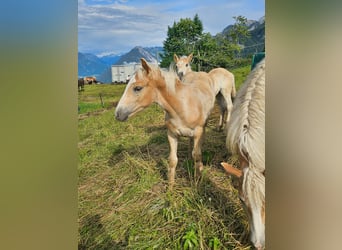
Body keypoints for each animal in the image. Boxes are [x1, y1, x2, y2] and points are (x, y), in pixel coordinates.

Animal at [115, 58, 216, 188]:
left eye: (137, 88)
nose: (118, 114)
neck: (183, 107)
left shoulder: (198, 131)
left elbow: (197, 156)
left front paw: (198, 180)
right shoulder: (172, 134)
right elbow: (172, 160)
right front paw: (170, 187)